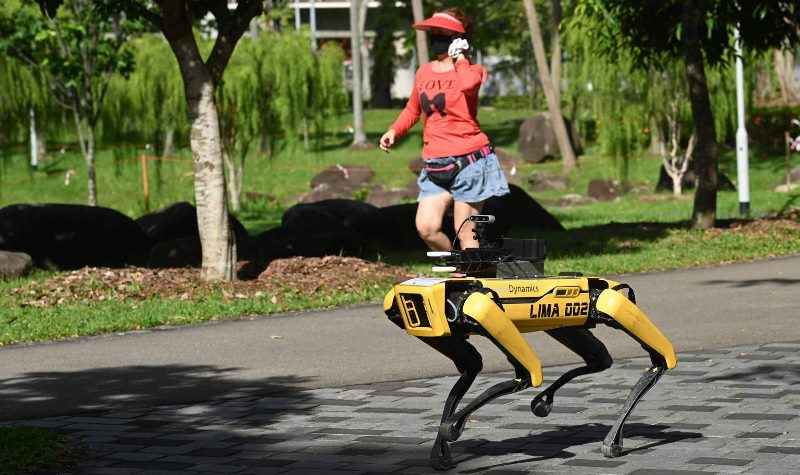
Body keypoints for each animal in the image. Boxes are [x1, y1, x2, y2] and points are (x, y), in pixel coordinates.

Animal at [384, 217, 680, 472]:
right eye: (407, 306)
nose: (408, 306)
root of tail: (614, 284)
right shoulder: (459, 326)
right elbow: (472, 367)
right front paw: (443, 450)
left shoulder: (480, 306)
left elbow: (527, 374)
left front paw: (451, 427)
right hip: (569, 324)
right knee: (600, 359)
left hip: (608, 302)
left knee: (661, 358)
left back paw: (610, 438)